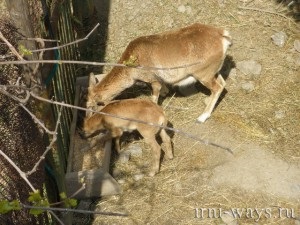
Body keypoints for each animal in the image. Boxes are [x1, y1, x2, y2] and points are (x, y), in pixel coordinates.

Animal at [86, 23, 232, 122]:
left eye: (92, 106)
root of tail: (221, 34)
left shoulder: (154, 82)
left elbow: (154, 99)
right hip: (213, 73)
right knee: (222, 84)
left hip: (203, 76)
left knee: (217, 87)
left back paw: (202, 117)